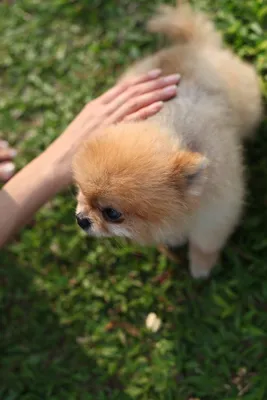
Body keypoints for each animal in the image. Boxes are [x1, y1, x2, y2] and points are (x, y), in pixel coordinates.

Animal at [73, 1, 262, 278]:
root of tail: (196, 47)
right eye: (80, 190)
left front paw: (201, 266)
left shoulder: (217, 211)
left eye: (112, 213)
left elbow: (205, 243)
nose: (81, 219)